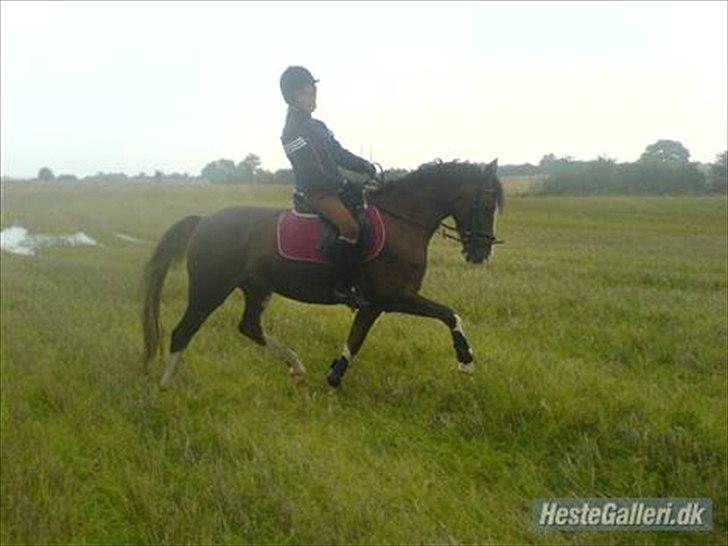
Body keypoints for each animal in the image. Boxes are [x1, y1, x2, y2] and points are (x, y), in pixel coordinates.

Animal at [141, 158, 504, 388]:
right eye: (486, 205)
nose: (482, 254)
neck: (402, 222)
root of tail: (203, 221)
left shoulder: (374, 305)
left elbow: (355, 340)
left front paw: (333, 377)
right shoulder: (397, 297)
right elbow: (450, 314)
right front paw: (466, 361)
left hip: (256, 288)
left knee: (249, 327)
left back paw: (295, 366)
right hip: (210, 288)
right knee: (183, 332)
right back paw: (166, 387)